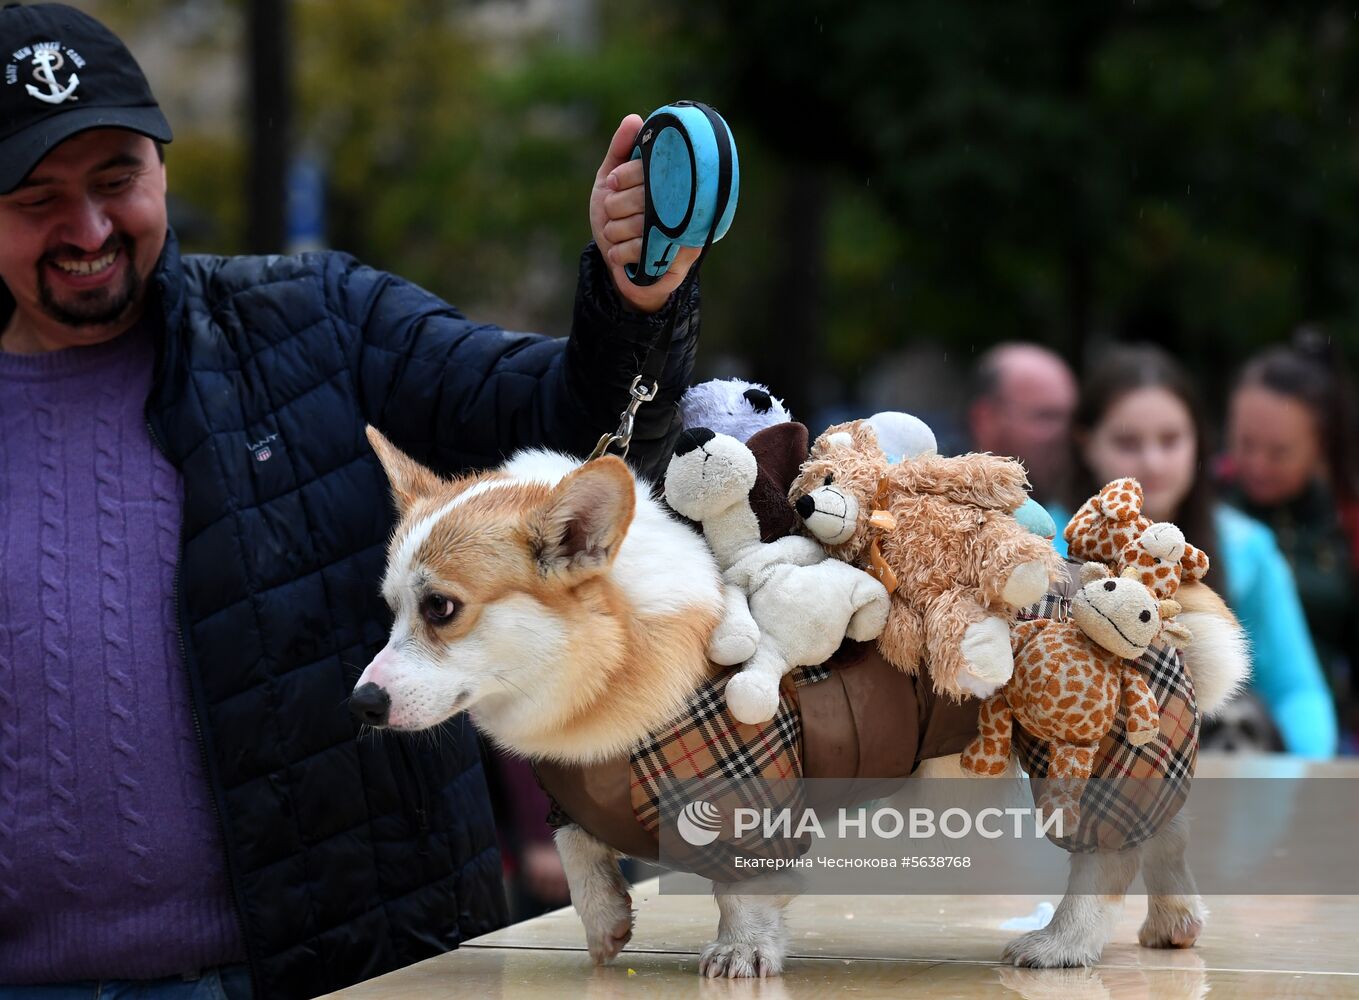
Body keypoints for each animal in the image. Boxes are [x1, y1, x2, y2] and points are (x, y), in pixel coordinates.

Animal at [353, 429, 1250, 978]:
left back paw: (1061, 944)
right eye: (390, 607)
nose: (360, 704)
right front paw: (605, 922)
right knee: (1162, 834)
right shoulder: (570, 790)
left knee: (1106, 855)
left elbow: (743, 892)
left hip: (1080, 744)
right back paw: (1175, 922)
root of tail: (1145, 591)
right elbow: (579, 851)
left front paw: (739, 956)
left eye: (442, 609)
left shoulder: (747, 794)